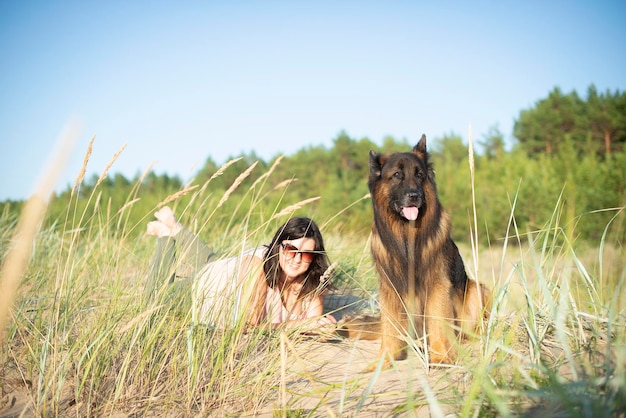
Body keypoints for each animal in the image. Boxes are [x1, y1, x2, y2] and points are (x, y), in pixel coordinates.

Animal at [342, 136, 488, 368]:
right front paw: (384, 360)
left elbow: (438, 320)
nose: (414, 196)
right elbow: (390, 327)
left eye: (419, 175)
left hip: (477, 289)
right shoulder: (390, 289)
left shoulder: (437, 285)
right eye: (397, 175)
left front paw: (441, 356)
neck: (406, 236)